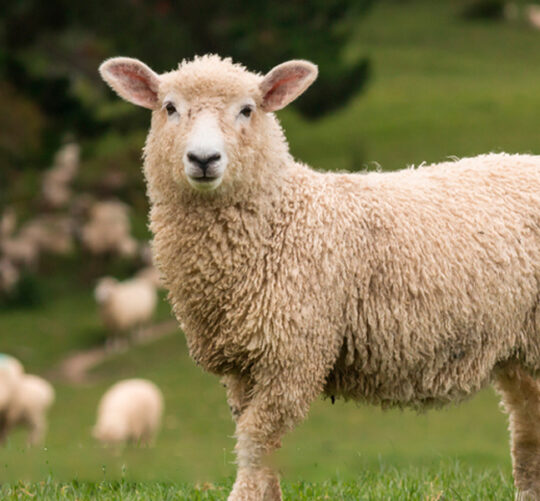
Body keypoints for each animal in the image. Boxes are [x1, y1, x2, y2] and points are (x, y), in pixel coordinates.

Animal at [98, 55, 540, 500]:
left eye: (247, 109)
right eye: (169, 107)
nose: (203, 159)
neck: (282, 218)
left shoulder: (293, 356)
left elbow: (255, 443)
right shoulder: (242, 366)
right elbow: (259, 445)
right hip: (518, 349)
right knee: (528, 428)